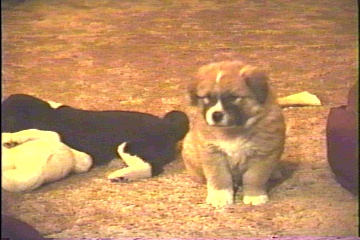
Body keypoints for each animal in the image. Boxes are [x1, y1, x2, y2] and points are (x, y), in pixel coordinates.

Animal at [2, 94, 188, 182]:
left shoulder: (57, 135)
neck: (48, 113)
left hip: (129, 146)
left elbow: (35, 131)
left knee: (152, 167)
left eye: (7, 117)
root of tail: (168, 125)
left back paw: (121, 175)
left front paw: (11, 138)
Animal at [183, 61, 286, 208]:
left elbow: (255, 177)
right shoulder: (213, 152)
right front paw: (220, 196)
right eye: (207, 97)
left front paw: (255, 195)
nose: (216, 115)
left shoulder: (263, 153)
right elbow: (219, 177)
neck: (233, 131)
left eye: (233, 97)